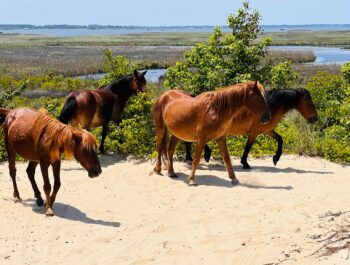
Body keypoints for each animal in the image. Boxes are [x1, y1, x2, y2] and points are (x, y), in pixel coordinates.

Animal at [185, 87, 318, 168]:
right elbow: (248, 147)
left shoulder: (267, 130)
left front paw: (276, 158)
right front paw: (245, 163)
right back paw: (202, 155)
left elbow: (280, 139)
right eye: (309, 101)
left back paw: (191, 158)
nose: (315, 118)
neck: (270, 107)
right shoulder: (254, 132)